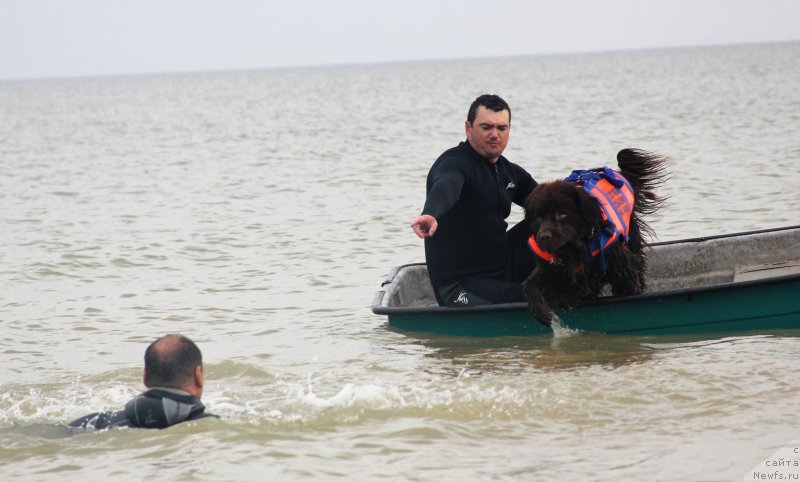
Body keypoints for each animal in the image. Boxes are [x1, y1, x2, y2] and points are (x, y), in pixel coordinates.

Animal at [524, 149, 668, 326]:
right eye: (538, 217)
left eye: (562, 213)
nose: (544, 237)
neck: (575, 251)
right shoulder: (553, 270)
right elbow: (531, 284)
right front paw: (541, 311)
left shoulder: (622, 264)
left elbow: (629, 283)